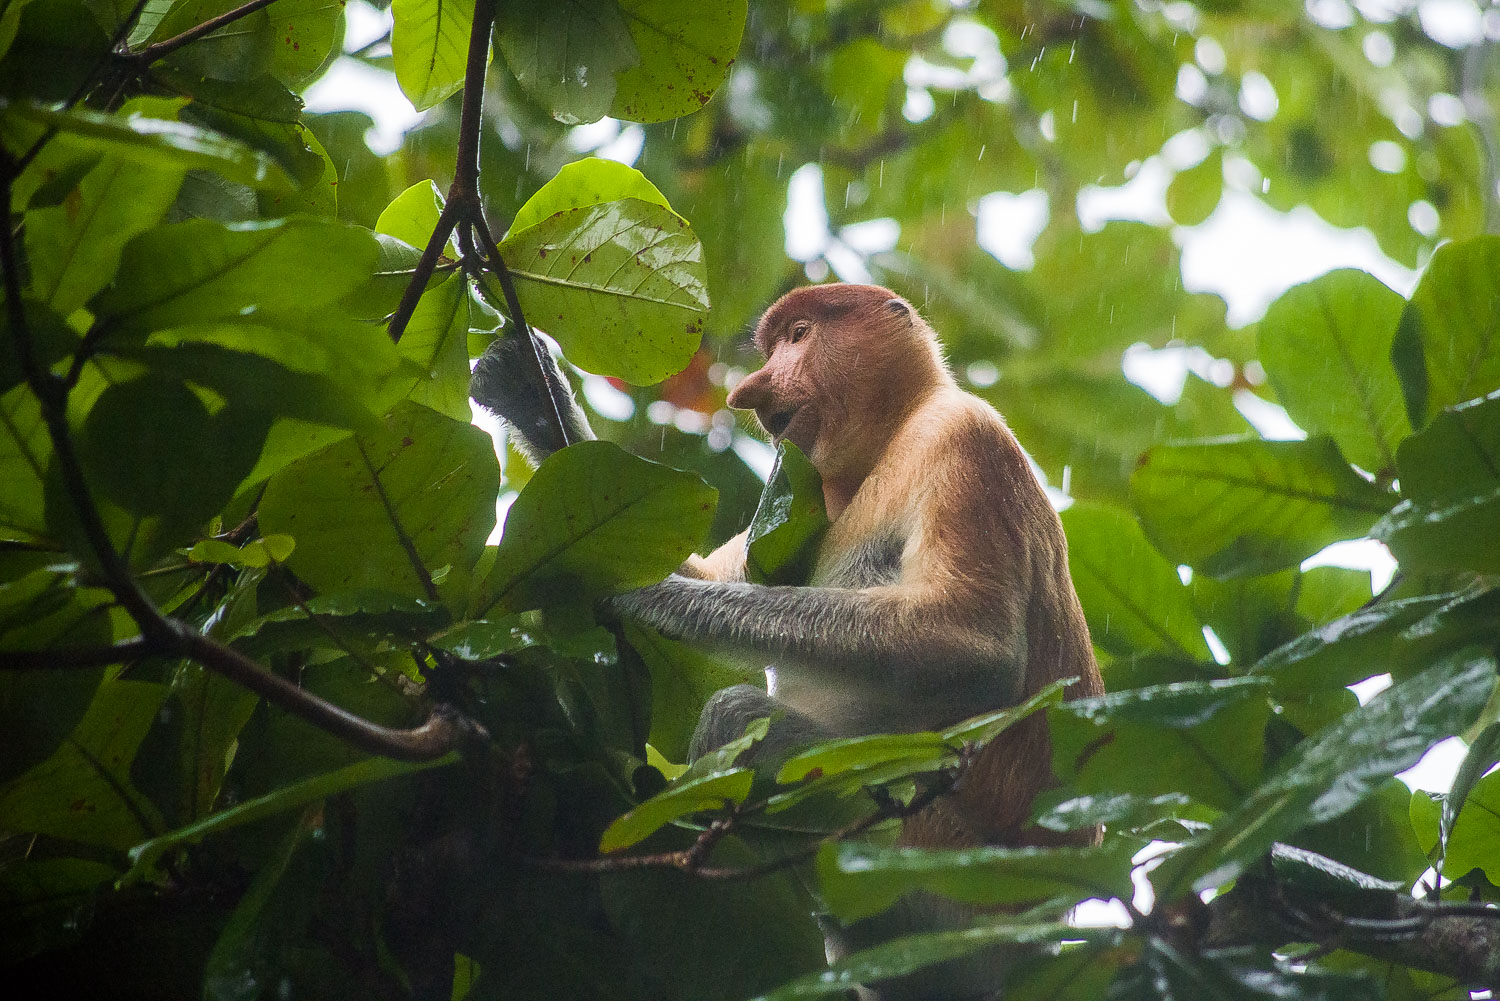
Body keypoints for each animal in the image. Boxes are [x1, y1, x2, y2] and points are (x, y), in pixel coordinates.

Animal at [471, 284, 1103, 1000]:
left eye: (800, 335)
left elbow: (975, 646)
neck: (891, 436)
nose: (750, 390)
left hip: (927, 854)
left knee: (739, 719)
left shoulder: (962, 437)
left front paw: (647, 593)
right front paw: (525, 383)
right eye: (773, 346)